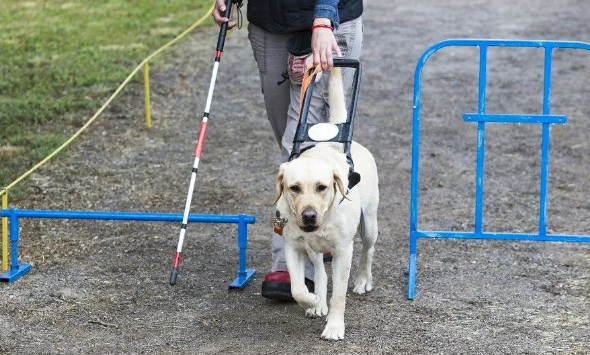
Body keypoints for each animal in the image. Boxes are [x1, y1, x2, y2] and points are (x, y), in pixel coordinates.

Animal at [276, 67, 382, 342]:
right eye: (294, 188)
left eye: (322, 187)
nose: (309, 215)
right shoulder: (293, 247)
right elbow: (297, 288)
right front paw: (313, 300)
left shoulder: (343, 252)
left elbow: (339, 296)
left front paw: (334, 327)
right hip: (312, 248)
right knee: (320, 271)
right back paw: (318, 301)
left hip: (369, 224)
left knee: (368, 250)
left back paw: (363, 280)